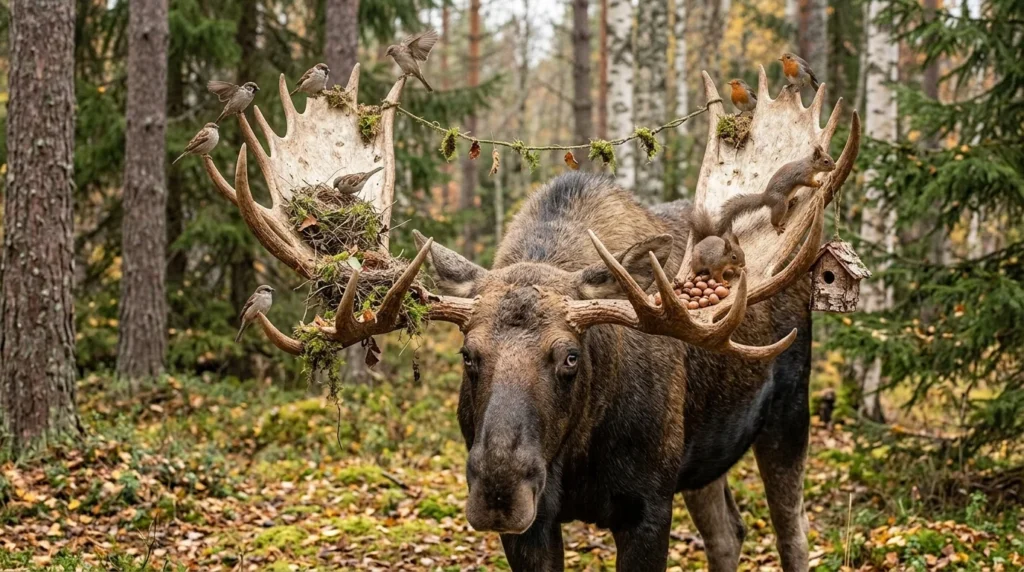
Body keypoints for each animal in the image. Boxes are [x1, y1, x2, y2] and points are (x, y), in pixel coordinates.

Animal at [203, 64, 859, 571]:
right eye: (468, 355)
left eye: (569, 356)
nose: (498, 486)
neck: (578, 449)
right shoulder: (534, 527)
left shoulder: (648, 507)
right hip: (704, 458)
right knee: (729, 533)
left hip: (789, 416)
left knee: (792, 535)